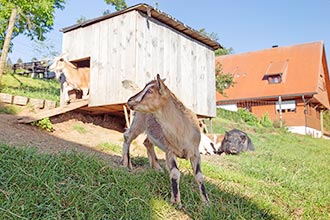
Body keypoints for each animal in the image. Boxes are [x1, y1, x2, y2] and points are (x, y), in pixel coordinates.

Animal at [126, 75, 209, 207]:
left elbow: (199, 176)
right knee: (127, 137)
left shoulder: (195, 153)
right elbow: (175, 173)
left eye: (150, 91)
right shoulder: (170, 151)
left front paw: (206, 202)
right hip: (138, 122)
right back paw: (127, 164)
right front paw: (176, 202)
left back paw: (157, 168)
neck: (182, 131)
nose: (130, 100)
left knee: (146, 142)